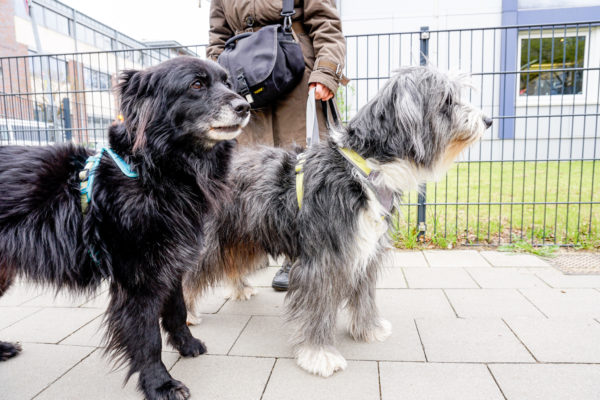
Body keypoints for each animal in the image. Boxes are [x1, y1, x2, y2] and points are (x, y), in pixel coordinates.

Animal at [0, 57, 248, 400]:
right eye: (196, 85)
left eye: (228, 83)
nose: (245, 106)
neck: (151, 172)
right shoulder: (138, 278)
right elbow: (147, 337)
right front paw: (160, 384)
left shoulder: (171, 264)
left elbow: (177, 311)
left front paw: (187, 346)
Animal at [184, 65, 492, 376]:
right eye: (447, 101)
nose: (488, 120)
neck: (364, 168)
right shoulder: (322, 259)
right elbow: (318, 306)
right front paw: (319, 354)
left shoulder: (365, 250)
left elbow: (365, 294)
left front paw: (368, 329)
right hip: (214, 237)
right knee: (192, 271)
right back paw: (186, 314)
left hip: (245, 235)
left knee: (233, 260)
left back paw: (239, 288)